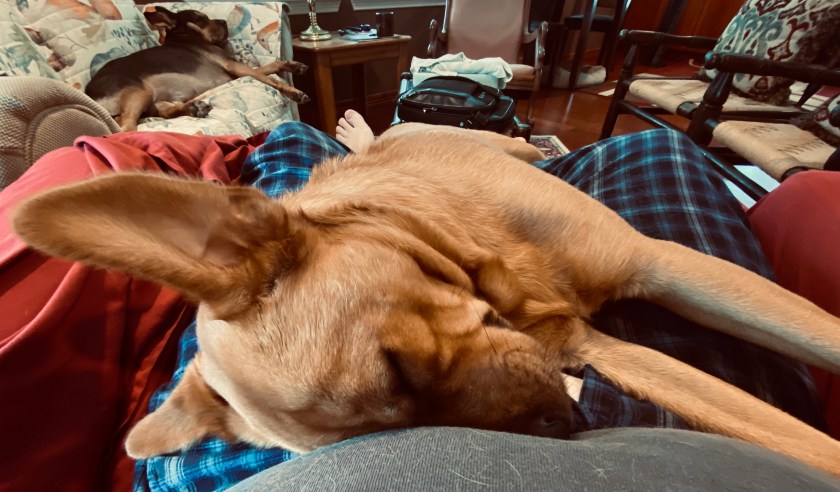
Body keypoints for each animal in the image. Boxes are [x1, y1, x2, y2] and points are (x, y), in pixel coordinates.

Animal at [12, 123, 840, 477]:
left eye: (398, 365)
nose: (563, 426)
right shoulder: (601, 349)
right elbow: (791, 439)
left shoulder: (662, 263)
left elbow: (822, 337)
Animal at [84, 7, 310, 132]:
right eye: (201, 19)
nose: (224, 21)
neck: (187, 36)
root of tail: (90, 94)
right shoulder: (232, 66)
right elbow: (270, 78)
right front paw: (294, 92)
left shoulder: (231, 73)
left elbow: (269, 66)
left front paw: (293, 65)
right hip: (139, 92)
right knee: (125, 126)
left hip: (154, 100)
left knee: (164, 112)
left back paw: (194, 108)